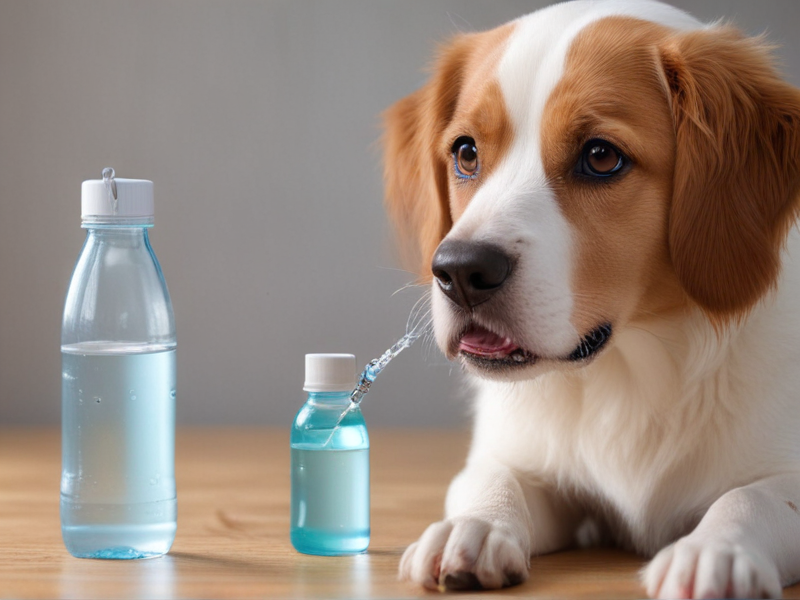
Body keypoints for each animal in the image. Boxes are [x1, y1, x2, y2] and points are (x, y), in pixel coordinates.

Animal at [382, 1, 800, 600]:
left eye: (601, 157)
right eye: (465, 152)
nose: (459, 271)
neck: (629, 374)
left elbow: (750, 496)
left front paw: (715, 551)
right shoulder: (525, 460)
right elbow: (491, 477)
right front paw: (472, 525)